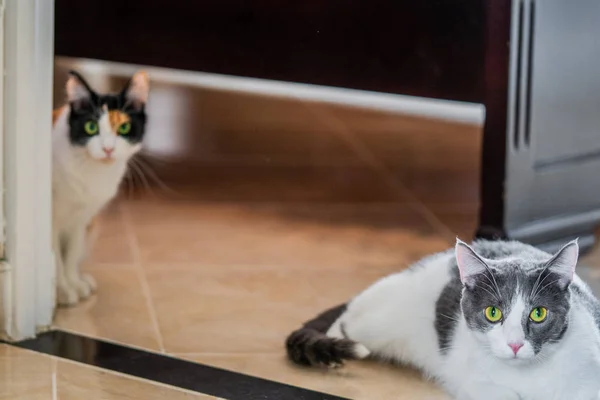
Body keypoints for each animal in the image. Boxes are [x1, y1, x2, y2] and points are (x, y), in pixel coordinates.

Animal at [52, 69, 149, 306]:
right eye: (91, 127)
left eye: (124, 127)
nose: (108, 149)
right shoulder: (51, 218)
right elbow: (56, 258)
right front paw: (62, 290)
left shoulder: (83, 219)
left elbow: (71, 253)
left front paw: (73, 282)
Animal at [286, 239, 600, 398]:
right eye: (493, 312)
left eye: (538, 313)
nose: (514, 344)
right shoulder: (469, 379)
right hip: (378, 317)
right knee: (343, 322)